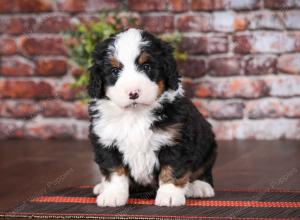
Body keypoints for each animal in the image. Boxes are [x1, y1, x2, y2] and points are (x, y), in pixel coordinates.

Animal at [88, 28, 217, 207]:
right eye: (114, 71)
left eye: (146, 66)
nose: (133, 93)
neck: (136, 115)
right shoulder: (107, 141)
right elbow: (114, 171)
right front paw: (112, 195)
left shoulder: (175, 140)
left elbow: (172, 170)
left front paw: (170, 195)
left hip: (207, 146)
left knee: (203, 170)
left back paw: (200, 187)